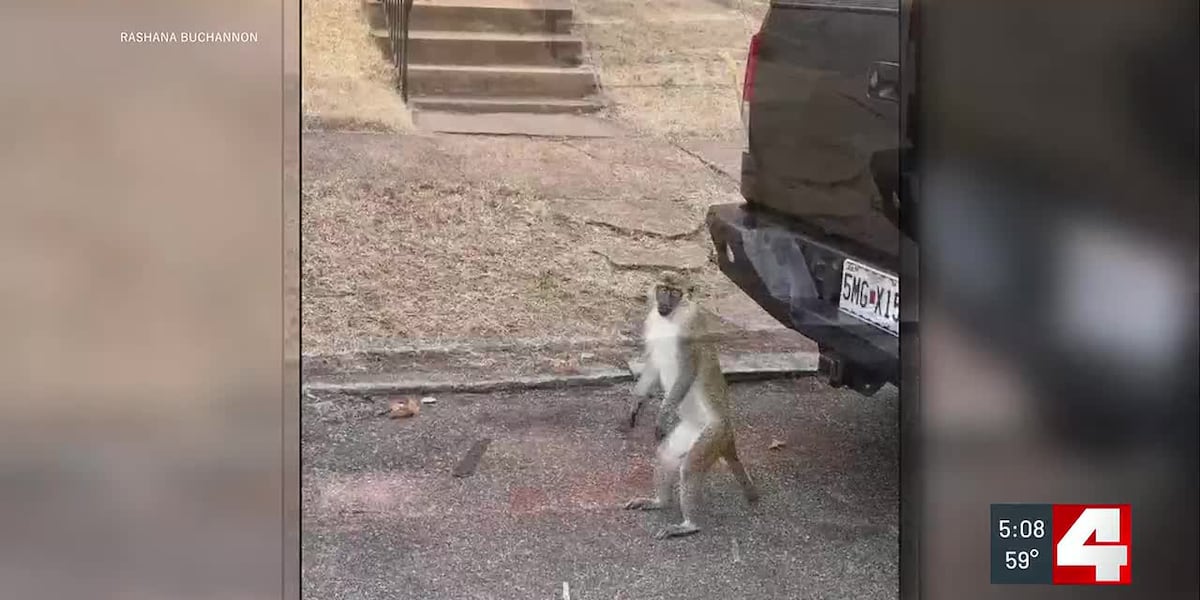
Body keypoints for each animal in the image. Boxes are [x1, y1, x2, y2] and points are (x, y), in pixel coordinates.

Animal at [623, 271, 760, 540]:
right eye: (663, 289)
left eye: (675, 292)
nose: (664, 302)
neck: (671, 318)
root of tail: (728, 433)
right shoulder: (652, 323)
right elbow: (653, 362)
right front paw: (637, 400)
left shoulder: (689, 331)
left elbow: (687, 373)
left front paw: (663, 413)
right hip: (692, 431)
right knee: (666, 455)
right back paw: (659, 502)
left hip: (713, 434)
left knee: (690, 468)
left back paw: (690, 525)